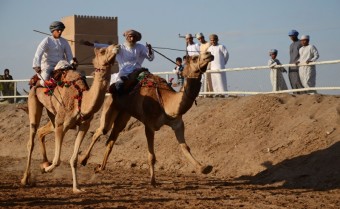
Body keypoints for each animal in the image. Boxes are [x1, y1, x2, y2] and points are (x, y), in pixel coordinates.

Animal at [78, 51, 214, 185]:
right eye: (195, 58)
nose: (209, 54)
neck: (166, 102)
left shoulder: (178, 124)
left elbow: (185, 147)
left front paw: (204, 168)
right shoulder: (149, 125)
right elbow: (151, 156)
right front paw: (153, 181)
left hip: (124, 114)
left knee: (112, 138)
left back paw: (100, 167)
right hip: (110, 106)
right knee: (100, 131)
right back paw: (83, 160)